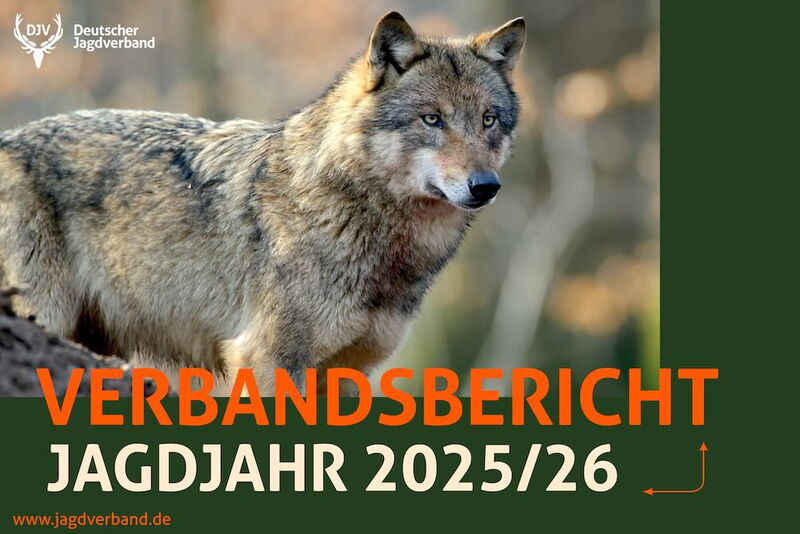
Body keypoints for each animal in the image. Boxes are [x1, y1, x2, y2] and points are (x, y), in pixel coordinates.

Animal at [0, 12, 525, 394]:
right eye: (432, 119)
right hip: (45, 313)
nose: (486, 186)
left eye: (488, 119)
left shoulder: (351, 372)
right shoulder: (267, 359)